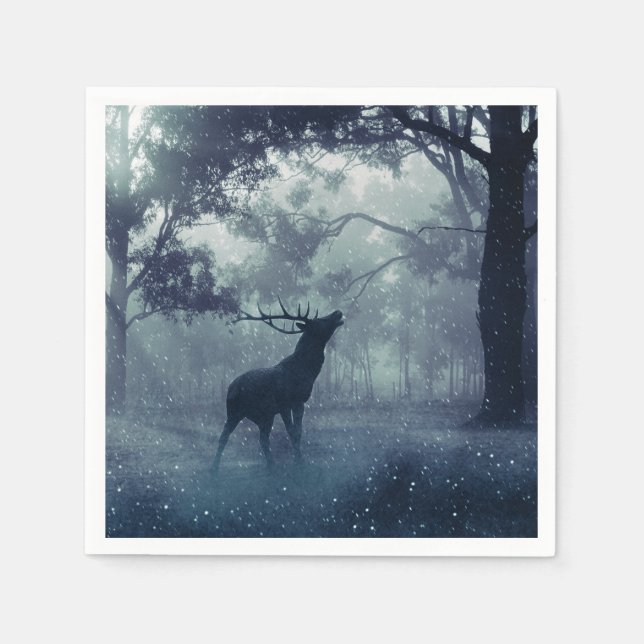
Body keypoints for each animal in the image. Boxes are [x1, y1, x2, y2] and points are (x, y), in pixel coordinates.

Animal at [213, 299, 344, 472]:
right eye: (319, 321)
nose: (338, 312)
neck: (307, 370)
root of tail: (231, 389)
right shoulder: (286, 402)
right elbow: (293, 432)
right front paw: (299, 462)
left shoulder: (296, 403)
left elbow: (298, 431)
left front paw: (299, 459)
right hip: (239, 411)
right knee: (229, 437)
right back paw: (216, 468)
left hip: (260, 415)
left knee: (258, 438)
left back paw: (269, 465)